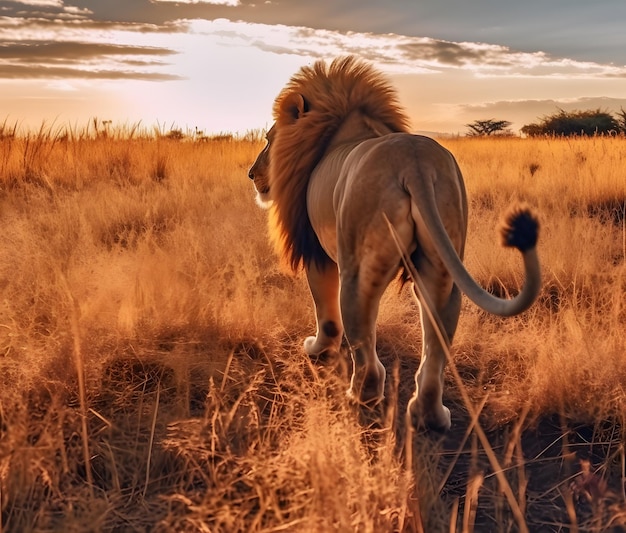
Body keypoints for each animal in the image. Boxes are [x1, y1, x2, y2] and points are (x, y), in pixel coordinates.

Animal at [246, 56, 540, 430]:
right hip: (442, 267)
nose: (251, 174)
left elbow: (325, 313)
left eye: (269, 139)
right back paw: (429, 415)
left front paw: (317, 350)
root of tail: (414, 163)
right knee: (435, 340)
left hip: (357, 270)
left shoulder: (316, 252)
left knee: (364, 347)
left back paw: (359, 397)